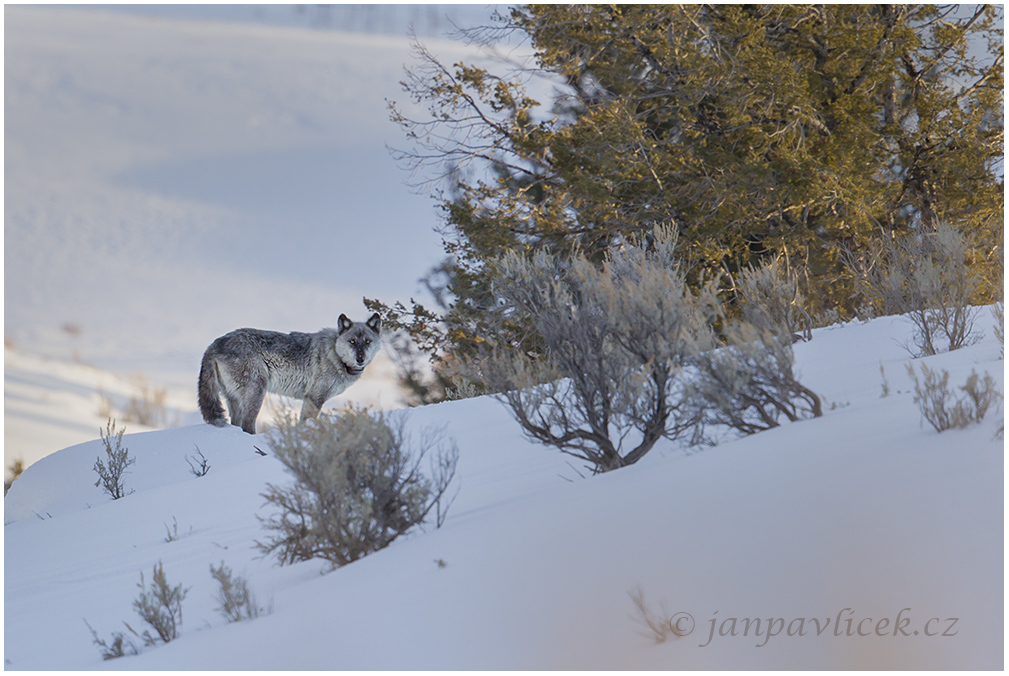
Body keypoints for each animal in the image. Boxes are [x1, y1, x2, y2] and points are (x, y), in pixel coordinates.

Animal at [198, 314, 379, 433]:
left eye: (367, 342)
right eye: (352, 342)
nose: (360, 359)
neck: (334, 353)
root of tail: (213, 345)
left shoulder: (309, 399)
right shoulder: (315, 398)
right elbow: (307, 421)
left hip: (235, 400)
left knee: (237, 424)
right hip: (257, 394)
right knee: (247, 425)